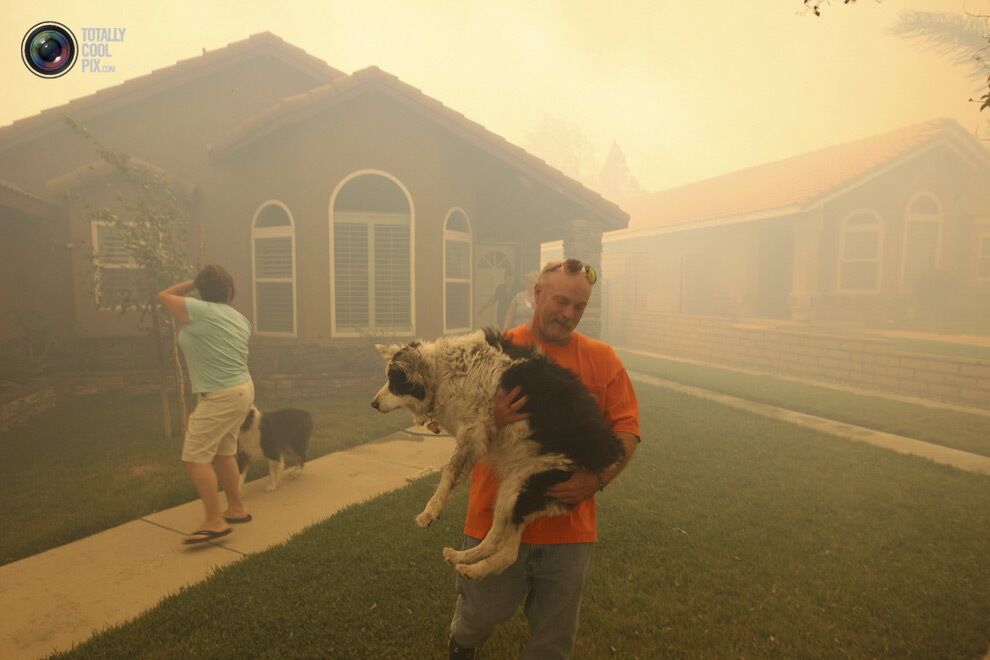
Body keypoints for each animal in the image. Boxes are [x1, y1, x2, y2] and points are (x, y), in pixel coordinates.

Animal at [376, 328, 624, 576]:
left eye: (394, 381)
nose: (373, 404)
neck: (443, 372)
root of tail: (608, 456)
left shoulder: (473, 431)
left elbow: (449, 474)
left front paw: (429, 512)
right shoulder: (474, 439)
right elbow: (456, 474)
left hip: (518, 486)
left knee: (499, 545)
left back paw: (470, 567)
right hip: (518, 496)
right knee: (504, 549)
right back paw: (465, 561)